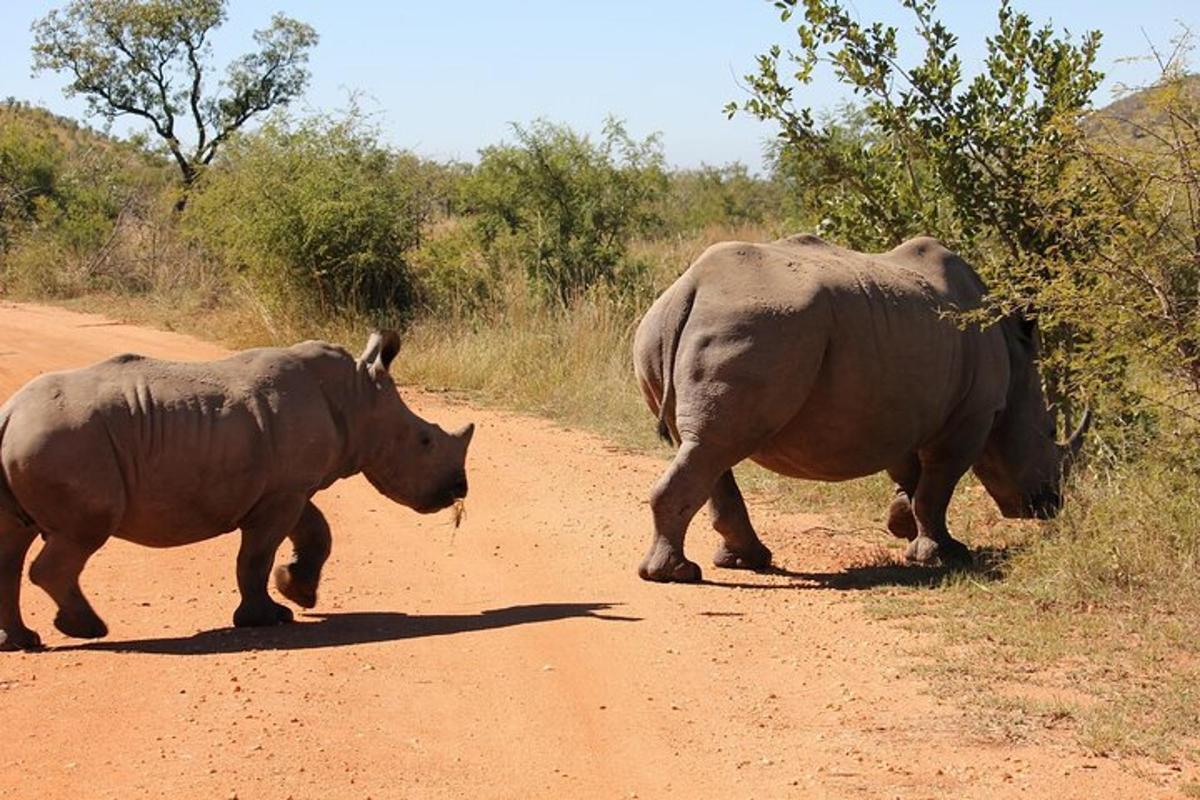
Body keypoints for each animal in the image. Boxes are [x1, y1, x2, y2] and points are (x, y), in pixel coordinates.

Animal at [0, 331, 475, 652]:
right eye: (424, 441)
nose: (460, 487)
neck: (357, 397)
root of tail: (10, 412)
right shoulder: (283, 492)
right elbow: (256, 556)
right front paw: (267, 618)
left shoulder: (289, 486)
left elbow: (316, 533)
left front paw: (299, 592)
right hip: (66, 441)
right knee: (81, 534)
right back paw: (88, 629)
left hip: (41, 441)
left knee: (14, 542)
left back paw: (24, 641)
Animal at [638, 236, 1089, 582]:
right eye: (1051, 432)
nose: (1051, 505)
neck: (1016, 358)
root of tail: (691, 287)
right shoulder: (970, 416)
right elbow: (938, 485)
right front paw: (945, 553)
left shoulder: (898, 408)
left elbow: (911, 476)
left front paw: (902, 525)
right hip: (752, 325)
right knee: (714, 447)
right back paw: (677, 574)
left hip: (665, 330)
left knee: (706, 450)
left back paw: (742, 562)